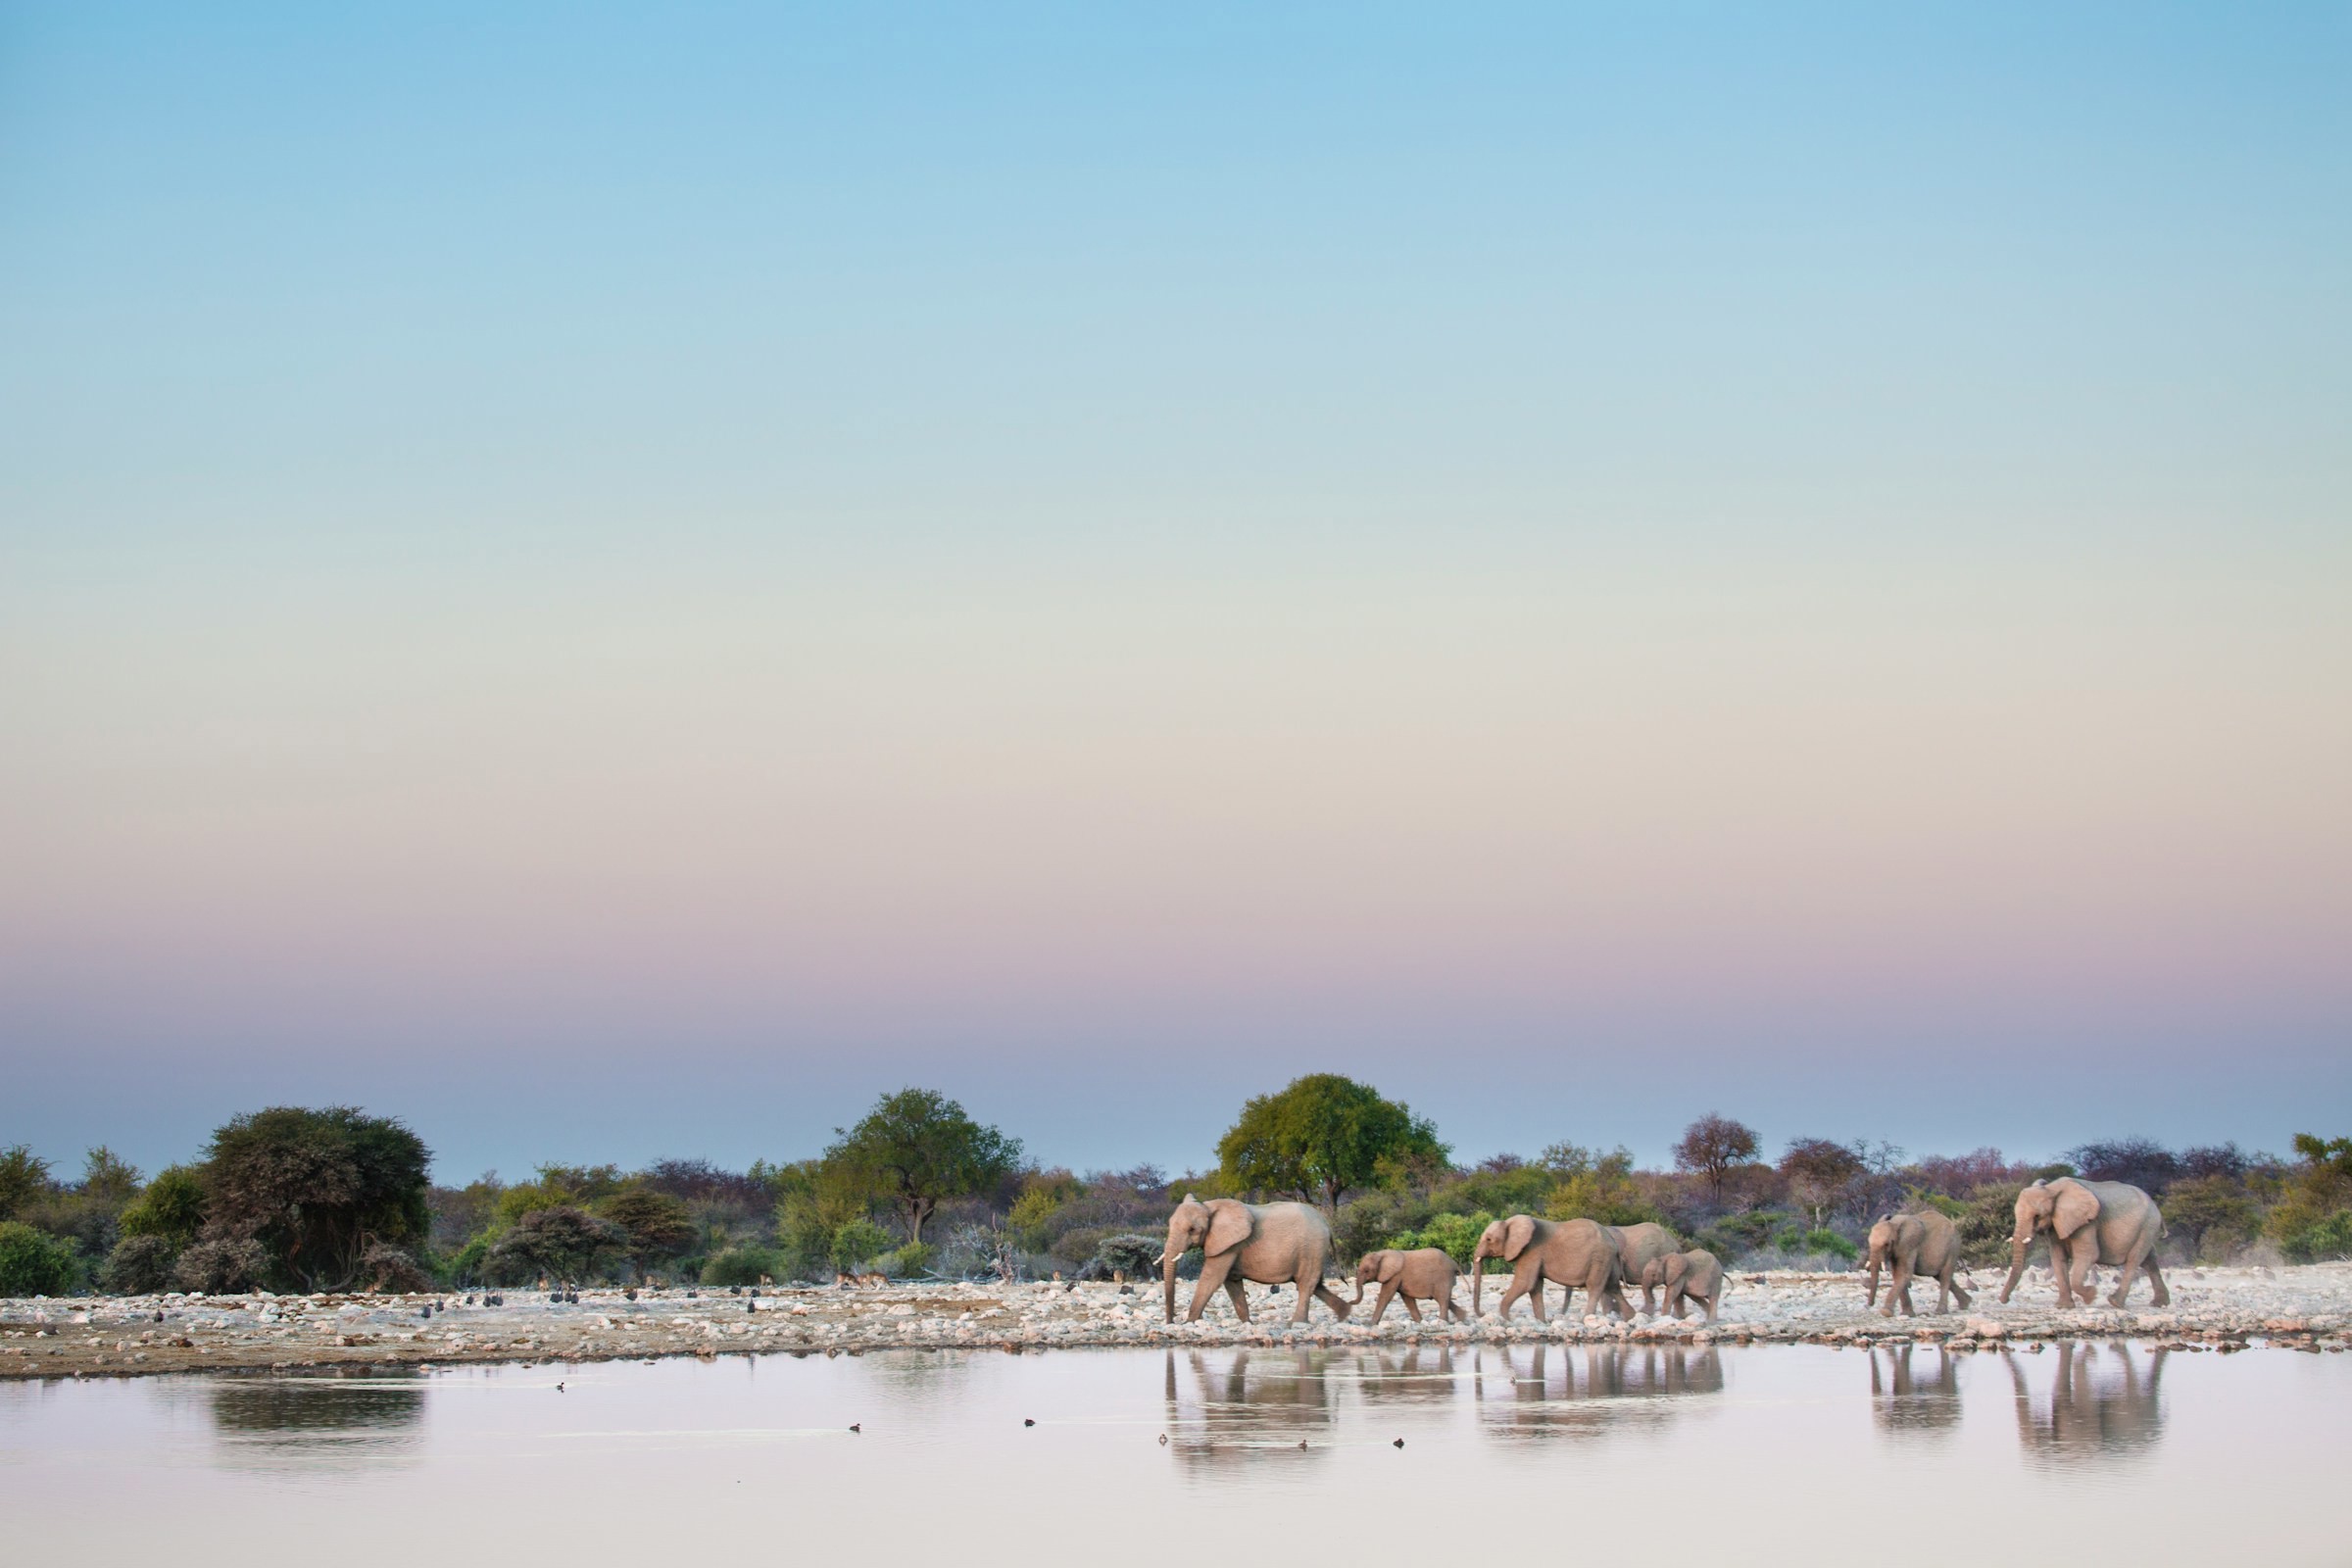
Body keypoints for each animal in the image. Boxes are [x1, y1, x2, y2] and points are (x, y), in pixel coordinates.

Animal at [1161, 1194, 1354, 1335]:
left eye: (1192, 1230)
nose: (1171, 1322)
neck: (1208, 1206)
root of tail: (1327, 1224)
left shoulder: (1229, 1245)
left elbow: (1212, 1278)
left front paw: (1188, 1323)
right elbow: (1231, 1282)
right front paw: (1248, 1324)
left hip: (1311, 1247)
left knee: (1305, 1284)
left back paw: (1296, 1324)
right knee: (1316, 1284)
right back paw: (1345, 1314)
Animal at [1467, 1212, 1618, 1325]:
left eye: (1489, 1239)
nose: (1483, 1313)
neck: (1510, 1222)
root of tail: (1611, 1237)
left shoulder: (1532, 1250)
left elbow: (1525, 1283)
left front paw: (1507, 1320)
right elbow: (1535, 1286)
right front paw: (1541, 1322)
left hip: (1600, 1257)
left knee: (1594, 1287)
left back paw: (1584, 1321)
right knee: (1609, 1287)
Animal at [1994, 1175, 2173, 1316]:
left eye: (2037, 1216)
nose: (2004, 1300)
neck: (2051, 1188)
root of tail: (2156, 1208)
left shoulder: (2087, 1221)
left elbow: (2088, 1254)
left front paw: (2092, 1296)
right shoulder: (2057, 1222)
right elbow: (2058, 1257)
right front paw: (2063, 1307)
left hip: (2147, 1226)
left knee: (2134, 1260)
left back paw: (2115, 1302)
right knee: (2149, 1261)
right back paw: (2159, 1304)